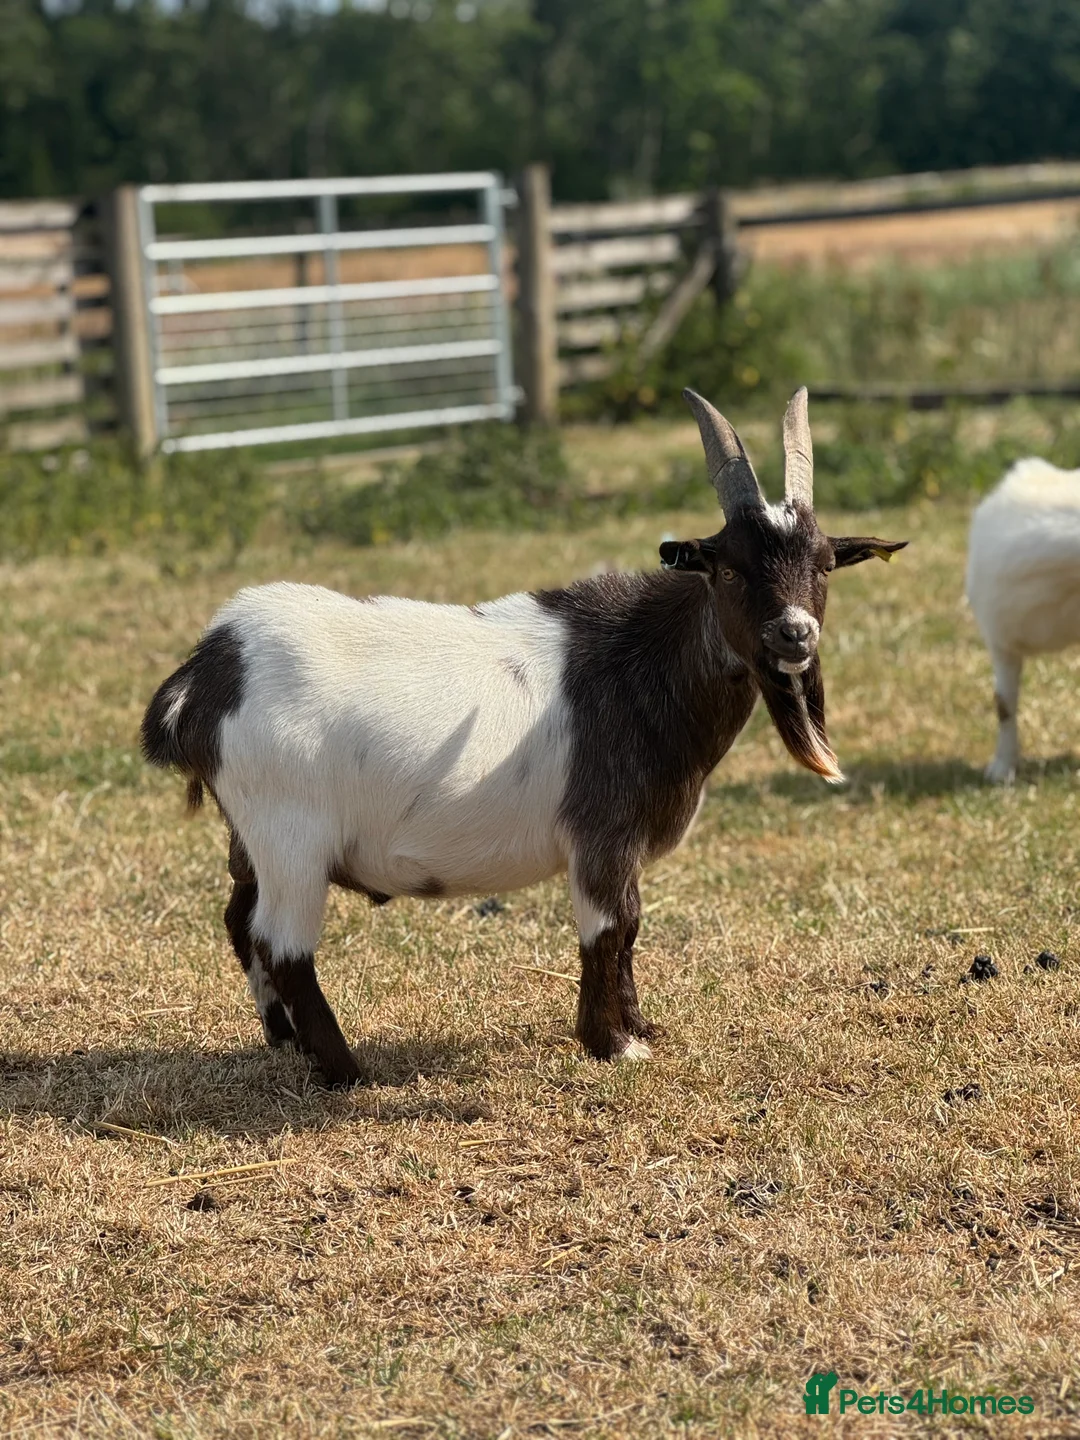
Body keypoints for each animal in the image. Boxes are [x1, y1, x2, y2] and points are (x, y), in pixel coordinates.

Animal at [141, 388, 905, 1086]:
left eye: (824, 564)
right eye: (726, 566)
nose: (794, 634)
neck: (640, 667)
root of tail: (207, 672)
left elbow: (630, 932)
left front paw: (638, 1027)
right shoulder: (602, 835)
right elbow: (612, 927)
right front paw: (612, 1043)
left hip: (252, 838)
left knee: (240, 919)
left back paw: (284, 1040)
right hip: (291, 837)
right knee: (284, 945)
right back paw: (343, 1068)